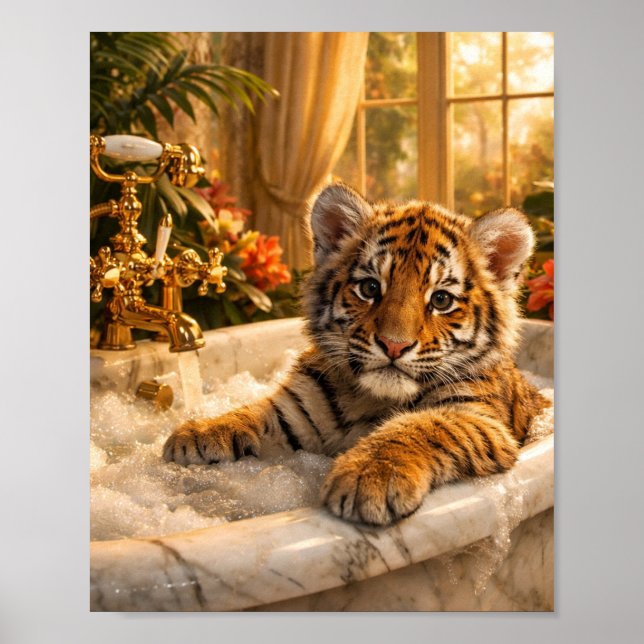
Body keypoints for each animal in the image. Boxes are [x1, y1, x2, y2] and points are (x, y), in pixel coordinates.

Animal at [163, 182, 548, 526]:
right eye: (370, 288)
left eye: (441, 300)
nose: (394, 345)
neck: (374, 399)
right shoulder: (296, 410)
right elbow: (253, 412)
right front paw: (197, 433)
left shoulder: (475, 416)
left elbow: (420, 427)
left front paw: (370, 477)